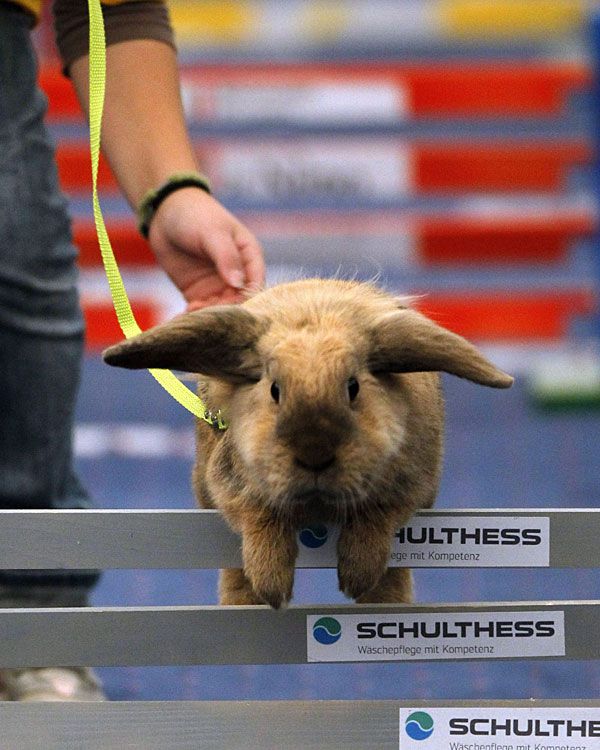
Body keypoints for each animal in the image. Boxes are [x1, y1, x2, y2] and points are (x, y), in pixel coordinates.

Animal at [102, 280, 510, 608]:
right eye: (274, 390)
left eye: (353, 387)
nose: (315, 457)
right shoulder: (234, 486)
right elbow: (259, 522)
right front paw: (272, 590)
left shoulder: (410, 486)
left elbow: (377, 520)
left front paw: (357, 579)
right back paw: (241, 603)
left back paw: (386, 602)